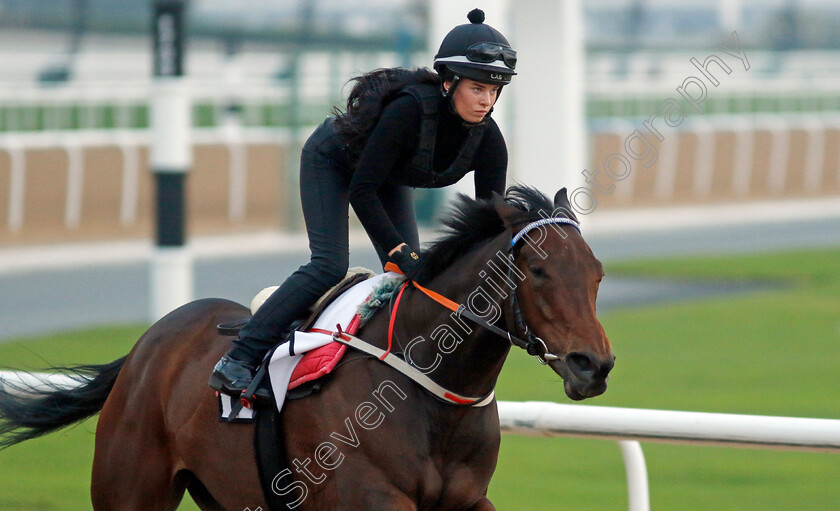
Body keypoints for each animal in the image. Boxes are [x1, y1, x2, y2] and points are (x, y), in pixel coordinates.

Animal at [1, 188, 616, 511]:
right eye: (538, 271)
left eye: (597, 274)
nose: (594, 365)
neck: (428, 395)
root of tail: (145, 346)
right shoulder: (374, 501)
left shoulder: (467, 501)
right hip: (131, 489)